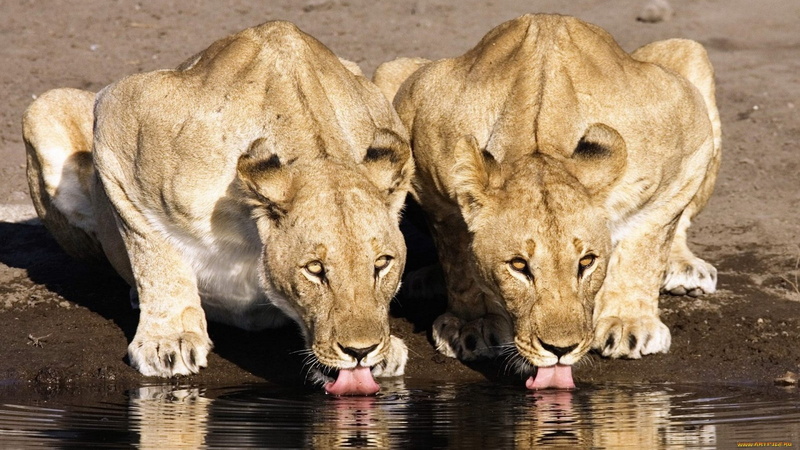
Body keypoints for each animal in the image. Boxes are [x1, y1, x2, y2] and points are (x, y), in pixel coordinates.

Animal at [23, 21, 414, 395]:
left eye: (382, 263)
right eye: (314, 269)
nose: (361, 351)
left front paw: (387, 349)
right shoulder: (119, 119)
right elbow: (153, 253)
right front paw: (169, 340)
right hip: (44, 108)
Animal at [374, 14, 721, 389]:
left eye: (586, 262)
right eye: (518, 266)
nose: (560, 349)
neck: (540, 142)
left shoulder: (687, 134)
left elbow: (646, 247)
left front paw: (629, 323)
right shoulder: (426, 158)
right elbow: (458, 260)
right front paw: (474, 323)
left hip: (688, 53)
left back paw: (684, 270)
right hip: (391, 72)